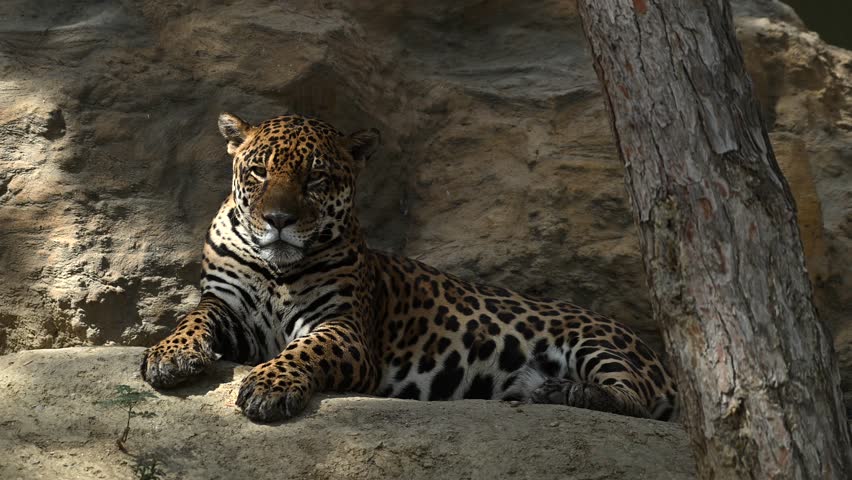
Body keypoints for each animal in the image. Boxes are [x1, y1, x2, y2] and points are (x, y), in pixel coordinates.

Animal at [141, 112, 678, 423]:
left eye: (316, 178)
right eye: (258, 172)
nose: (278, 220)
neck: (276, 271)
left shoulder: (344, 329)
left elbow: (306, 351)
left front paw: (270, 386)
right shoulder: (229, 308)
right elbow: (192, 316)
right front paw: (169, 355)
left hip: (597, 344)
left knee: (636, 400)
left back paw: (566, 391)